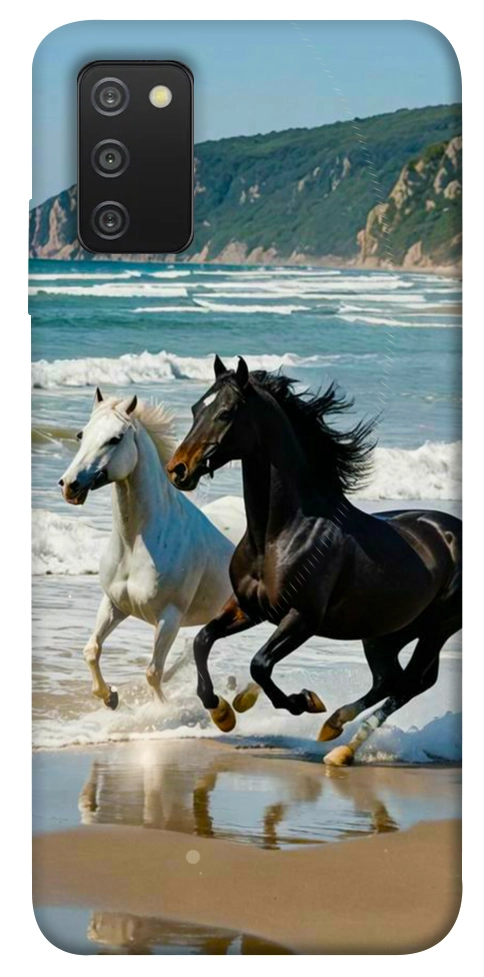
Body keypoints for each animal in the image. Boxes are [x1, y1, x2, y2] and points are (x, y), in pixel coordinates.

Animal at [59, 387, 234, 709]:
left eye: (115, 438)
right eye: (81, 434)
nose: (69, 485)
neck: (135, 544)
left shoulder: (169, 617)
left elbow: (153, 672)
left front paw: (161, 711)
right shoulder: (114, 604)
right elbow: (91, 650)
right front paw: (110, 697)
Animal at [166, 356, 462, 765]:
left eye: (225, 413)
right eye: (197, 408)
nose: (178, 469)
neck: (280, 534)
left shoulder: (302, 618)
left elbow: (260, 664)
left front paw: (302, 701)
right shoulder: (248, 608)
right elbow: (202, 641)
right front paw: (223, 711)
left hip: (437, 628)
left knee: (410, 683)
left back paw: (341, 746)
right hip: (386, 632)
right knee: (390, 679)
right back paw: (334, 729)